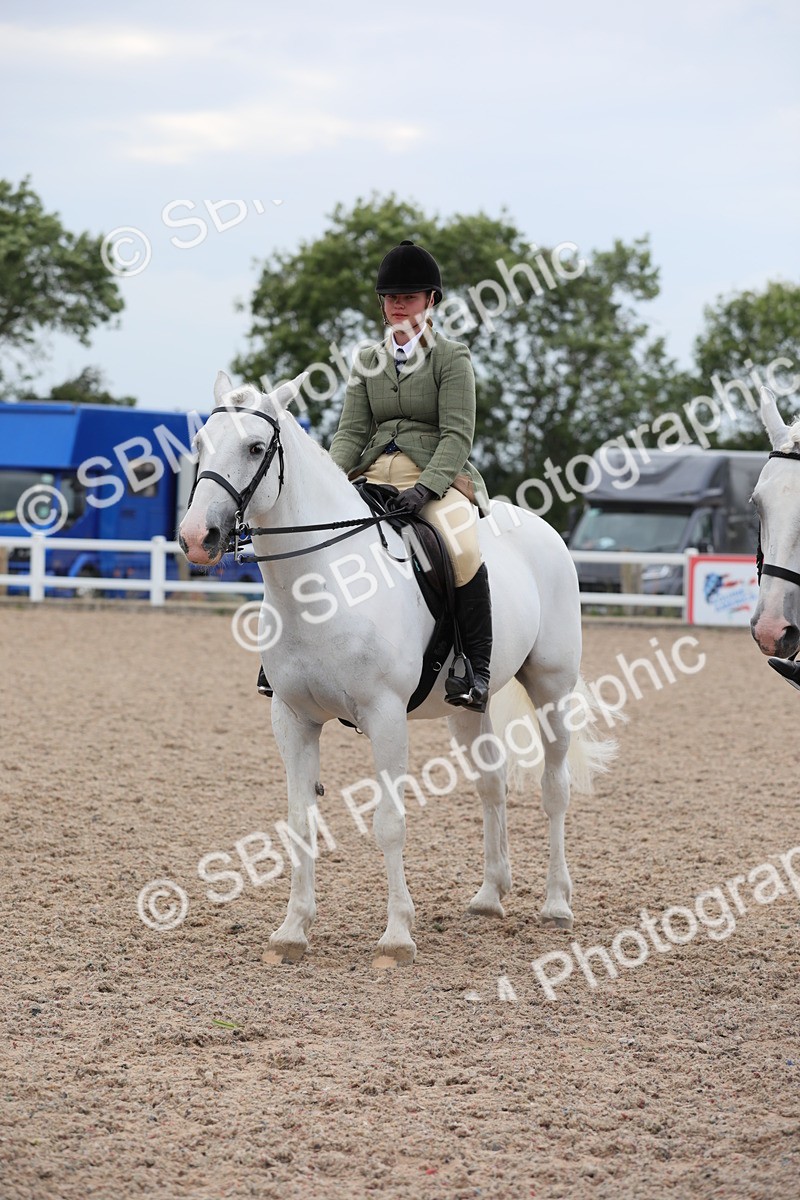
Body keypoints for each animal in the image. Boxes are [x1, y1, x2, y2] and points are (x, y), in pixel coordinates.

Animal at [179, 371, 616, 964]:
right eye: (201, 444)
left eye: (253, 447)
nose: (196, 539)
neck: (324, 582)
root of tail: (541, 528)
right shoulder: (292, 719)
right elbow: (298, 823)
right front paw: (292, 931)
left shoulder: (385, 717)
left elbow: (388, 824)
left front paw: (396, 937)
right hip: (466, 709)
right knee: (491, 786)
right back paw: (489, 897)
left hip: (552, 688)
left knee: (554, 789)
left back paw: (555, 904)